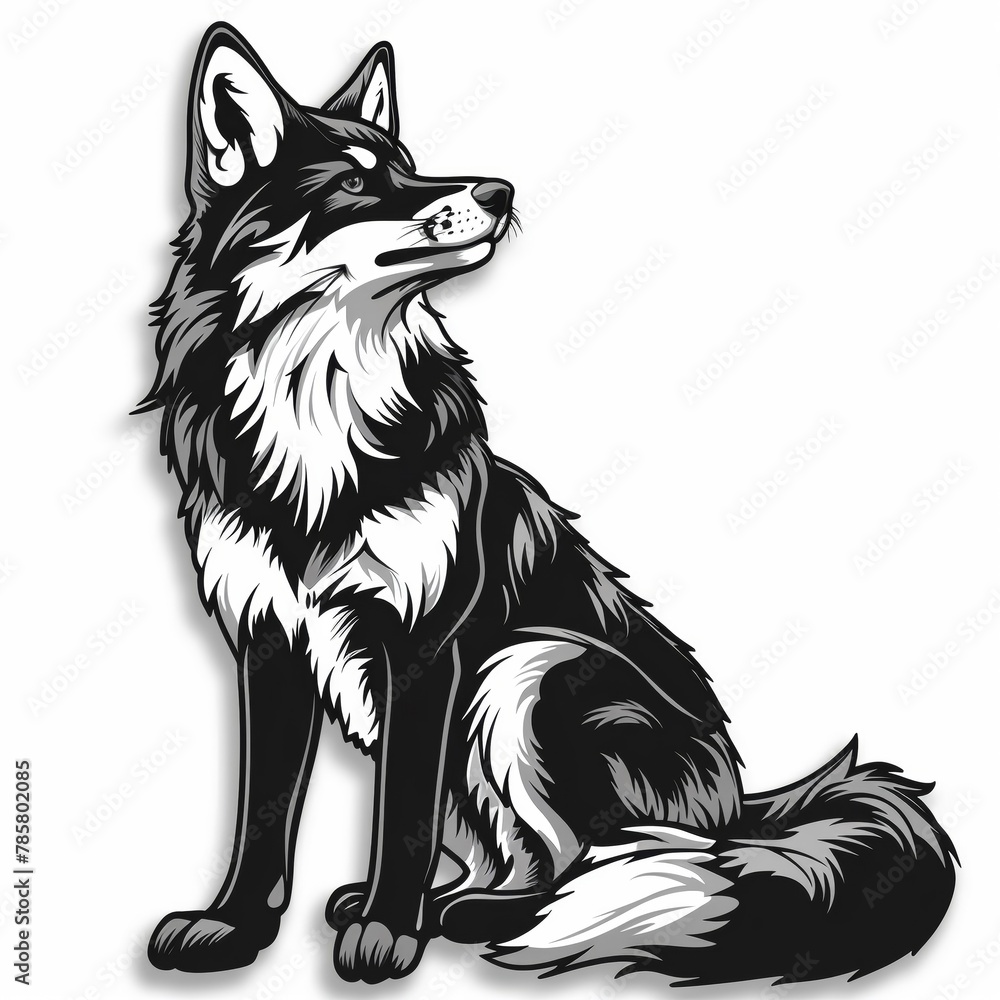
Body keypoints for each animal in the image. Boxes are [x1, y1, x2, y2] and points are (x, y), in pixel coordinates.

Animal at [142, 22, 956, 987]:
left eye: (410, 165)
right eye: (356, 182)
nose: (498, 190)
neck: (319, 415)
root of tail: (742, 812)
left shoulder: (430, 646)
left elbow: (404, 818)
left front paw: (388, 932)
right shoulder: (267, 640)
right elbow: (263, 815)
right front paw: (235, 926)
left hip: (530, 664)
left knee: (593, 859)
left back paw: (480, 916)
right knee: (531, 854)